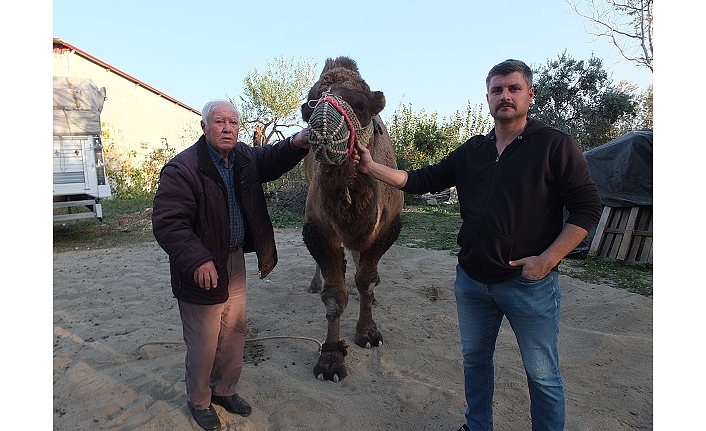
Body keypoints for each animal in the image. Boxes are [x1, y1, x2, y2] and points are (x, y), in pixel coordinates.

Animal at [298, 56, 402, 382]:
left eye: (361, 105)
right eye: (309, 107)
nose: (321, 129)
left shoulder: (388, 227)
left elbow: (366, 281)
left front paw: (368, 333)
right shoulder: (317, 228)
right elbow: (334, 296)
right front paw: (331, 359)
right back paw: (315, 282)